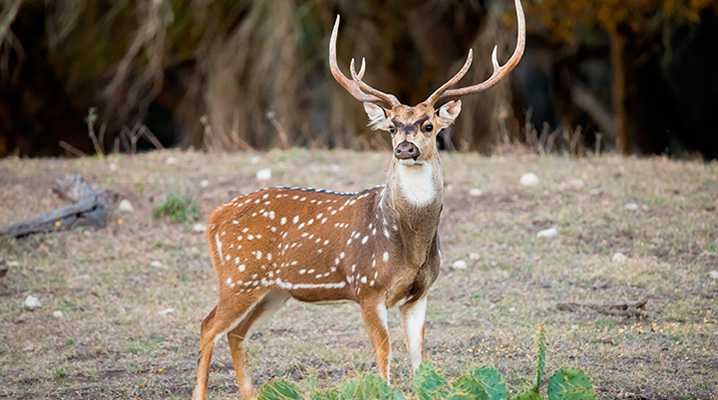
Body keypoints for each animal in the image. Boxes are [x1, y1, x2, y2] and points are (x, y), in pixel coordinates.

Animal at [194, 1, 524, 398]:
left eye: (428, 124)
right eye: (392, 127)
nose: (405, 148)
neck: (410, 243)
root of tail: (215, 217)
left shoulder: (420, 292)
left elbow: (419, 360)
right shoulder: (368, 287)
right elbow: (384, 355)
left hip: (273, 290)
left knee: (236, 333)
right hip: (239, 276)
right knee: (208, 326)